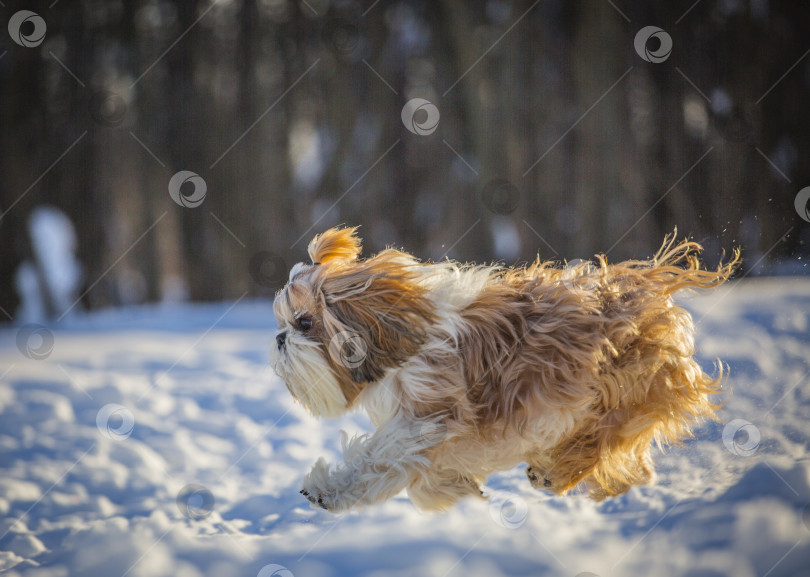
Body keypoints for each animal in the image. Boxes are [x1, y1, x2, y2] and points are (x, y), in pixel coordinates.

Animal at [268, 227, 736, 510]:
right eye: (284, 321)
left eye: (304, 323)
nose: (278, 338)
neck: (408, 340)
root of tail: (650, 288)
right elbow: (423, 476)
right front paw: (456, 486)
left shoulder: (428, 418)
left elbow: (378, 459)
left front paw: (329, 489)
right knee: (630, 465)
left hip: (617, 397)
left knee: (600, 445)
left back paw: (558, 473)